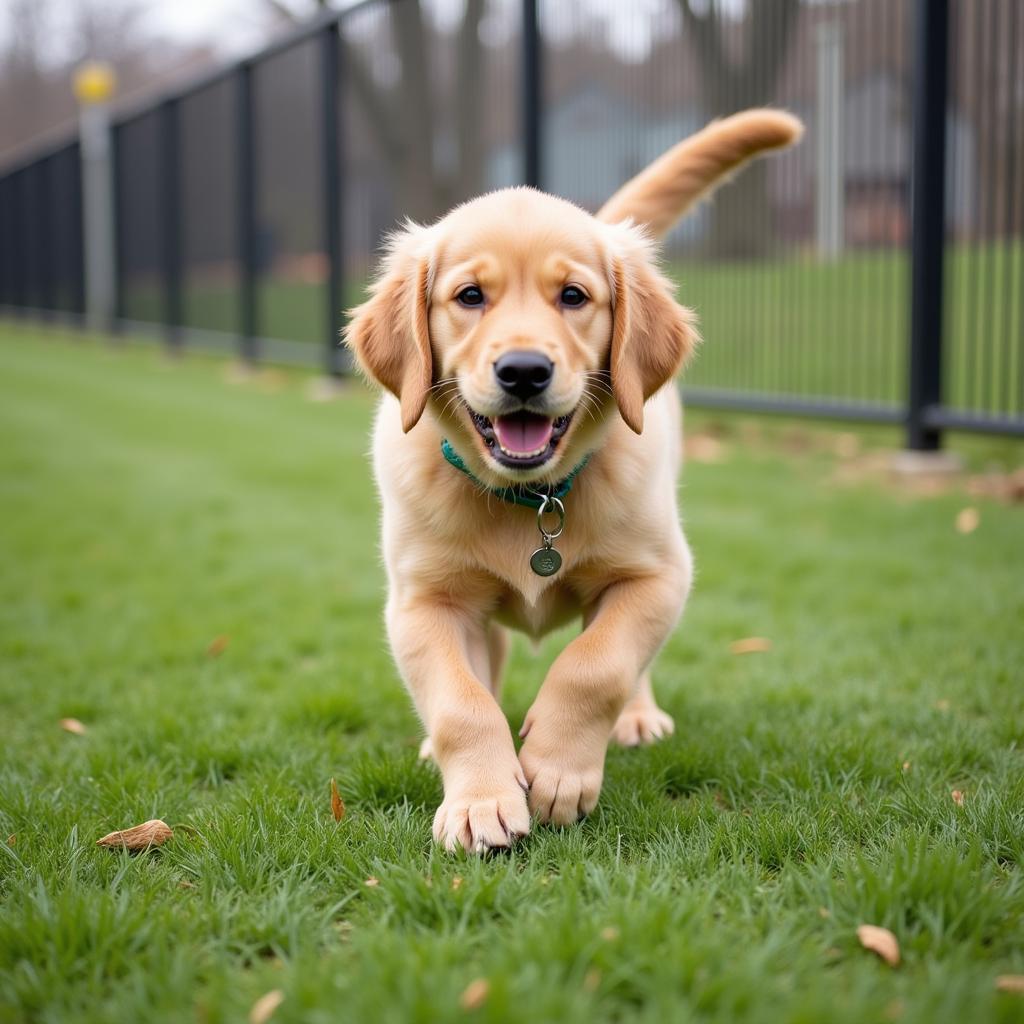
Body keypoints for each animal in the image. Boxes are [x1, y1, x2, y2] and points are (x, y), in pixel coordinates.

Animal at [348, 108, 802, 851]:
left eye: (573, 296)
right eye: (469, 296)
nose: (525, 371)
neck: (532, 495)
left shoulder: (656, 576)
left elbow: (597, 666)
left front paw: (559, 770)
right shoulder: (422, 602)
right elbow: (462, 703)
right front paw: (480, 799)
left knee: (629, 662)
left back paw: (636, 719)